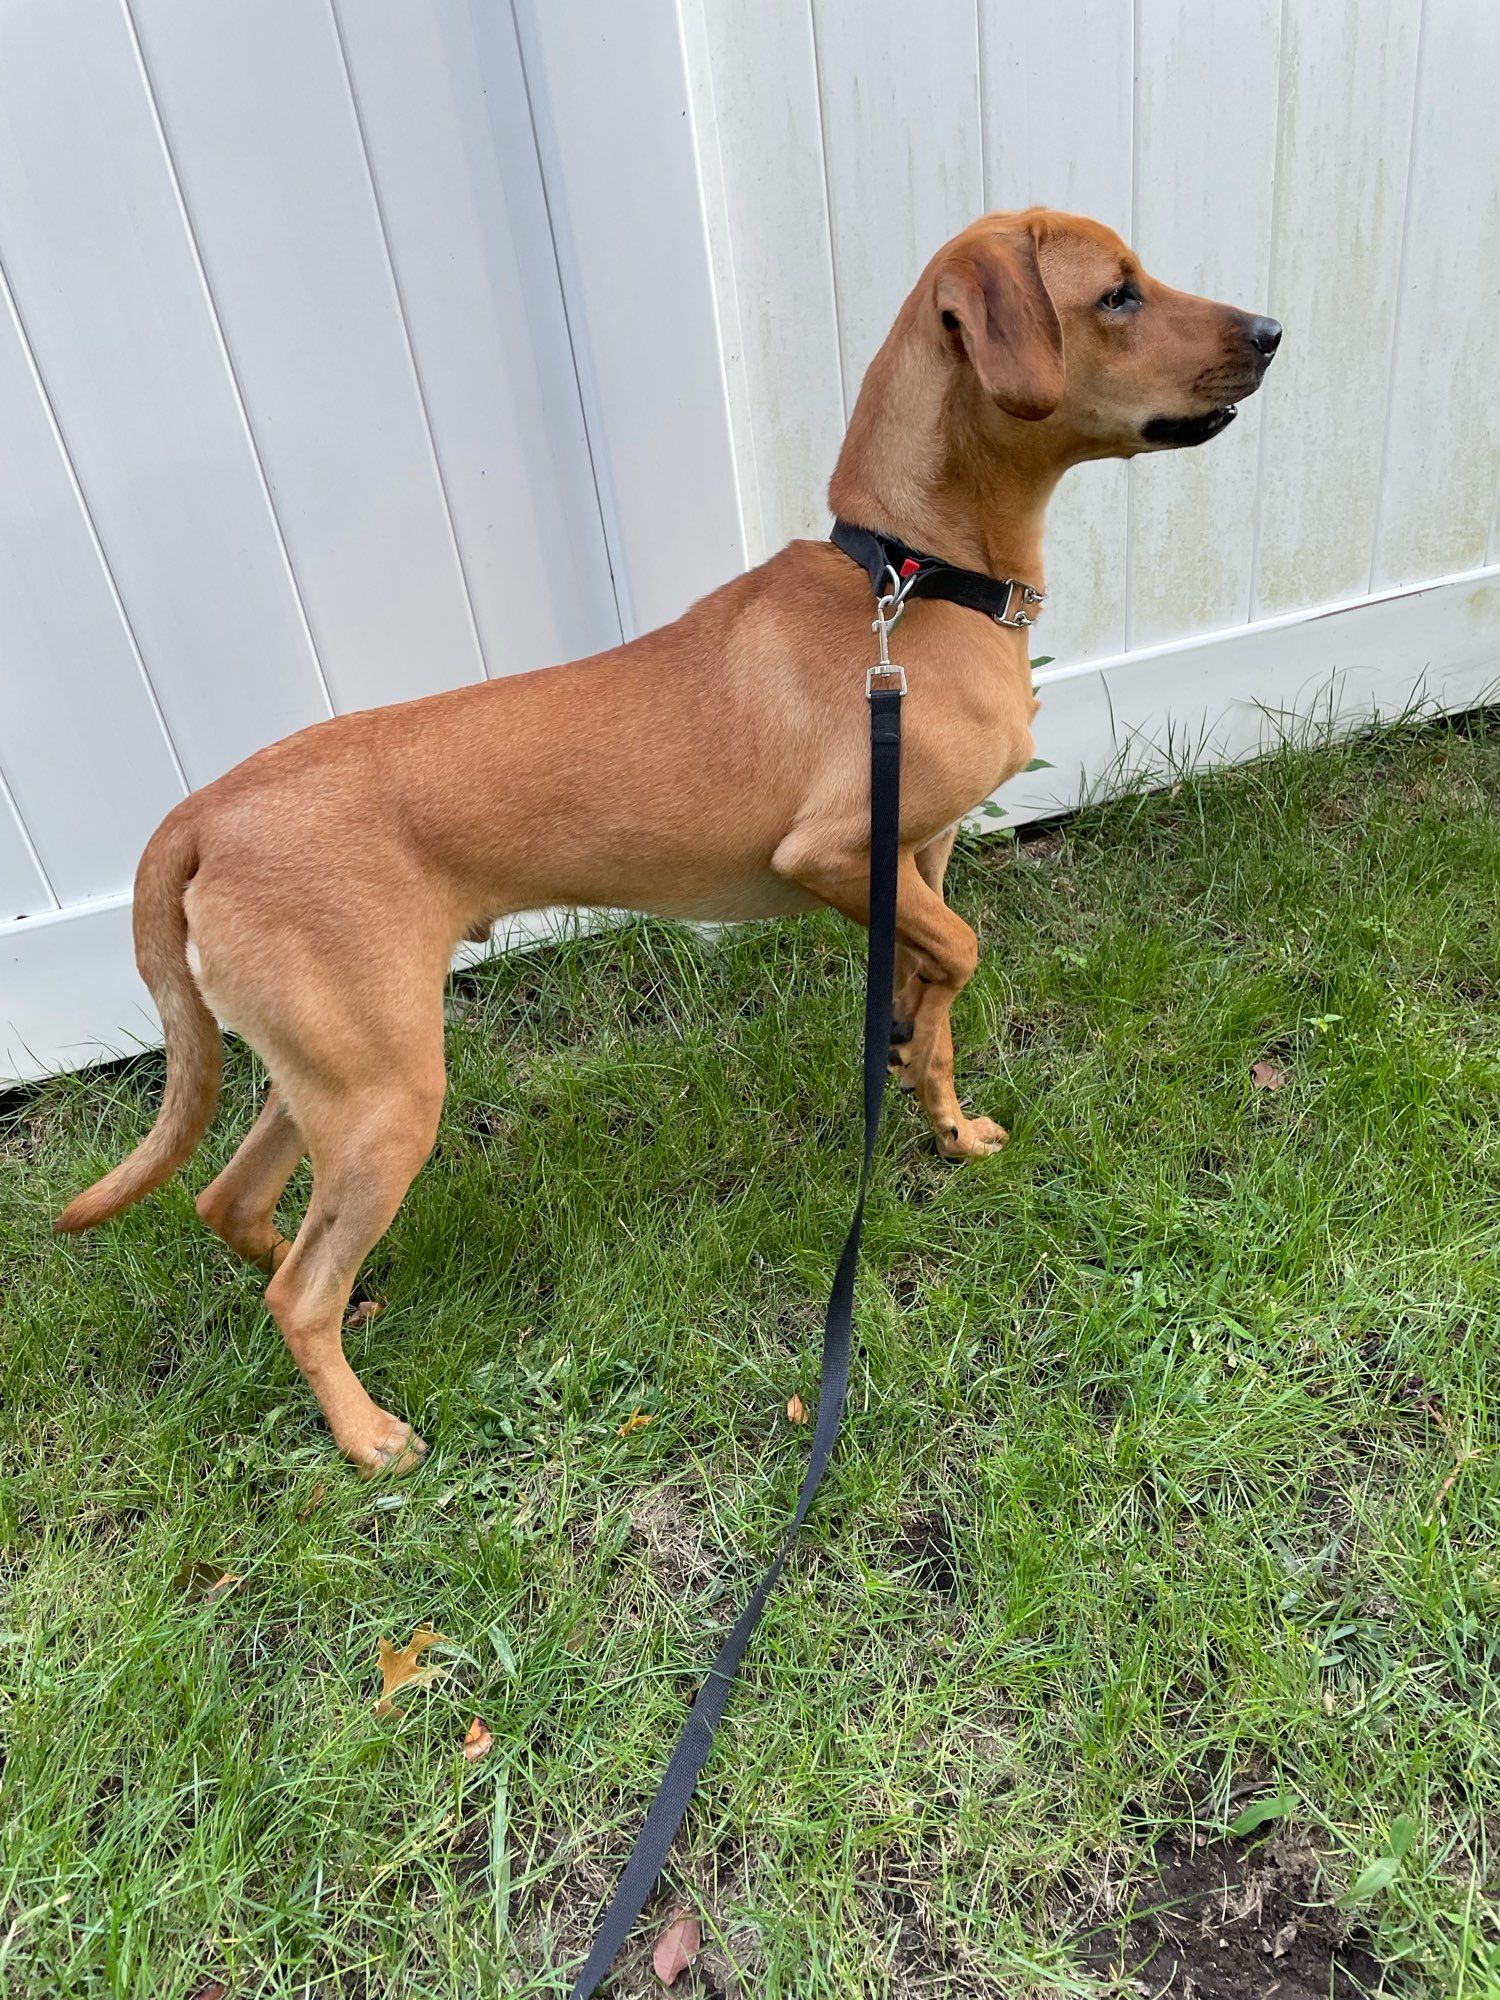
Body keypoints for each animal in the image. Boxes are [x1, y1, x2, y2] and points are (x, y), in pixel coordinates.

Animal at [55, 211, 1280, 1480]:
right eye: (1118, 295)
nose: (1272, 332)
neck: (911, 584)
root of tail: (203, 812)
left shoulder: (918, 855)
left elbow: (937, 990)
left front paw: (936, 1106)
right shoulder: (833, 854)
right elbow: (966, 952)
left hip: (335, 1074)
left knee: (238, 1209)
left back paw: (362, 1309)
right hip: (389, 1090)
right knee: (295, 1289)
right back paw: (366, 1431)